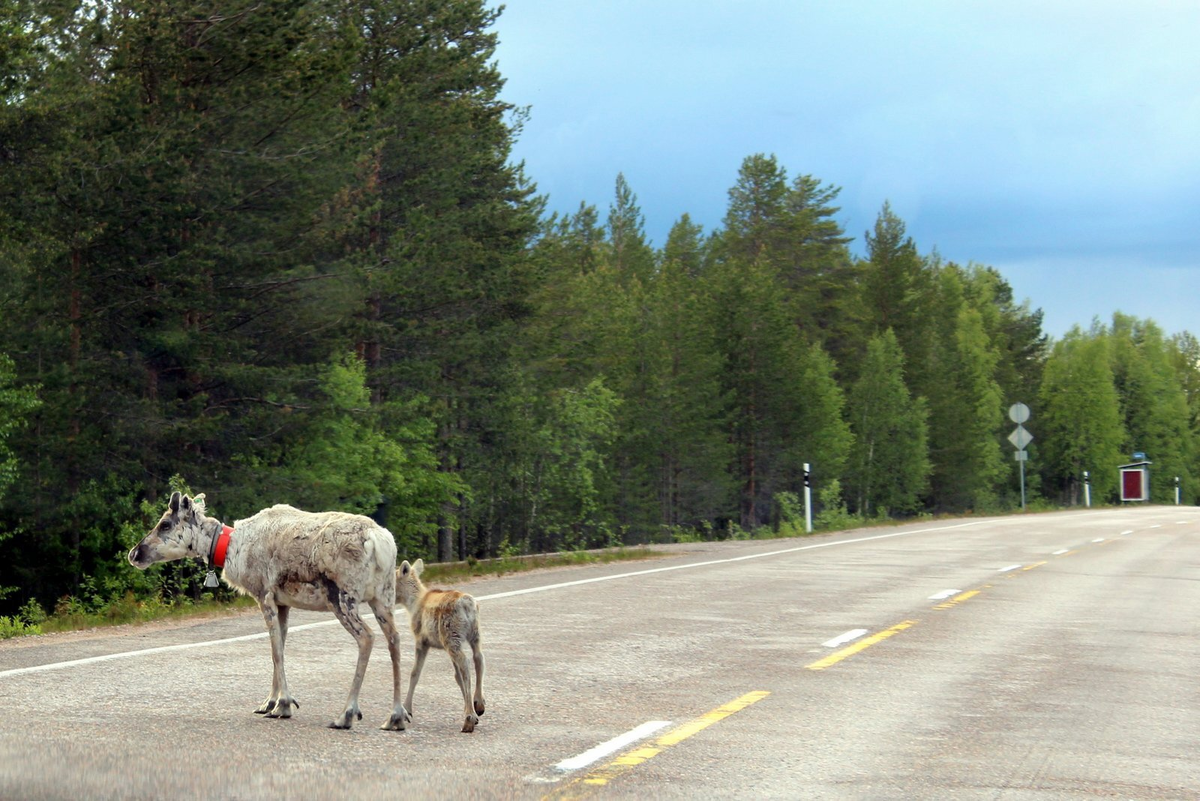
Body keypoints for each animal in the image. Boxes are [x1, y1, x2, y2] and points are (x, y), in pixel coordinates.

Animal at [396, 561, 484, 733]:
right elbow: (457, 677)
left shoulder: (421, 641)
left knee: (466, 665)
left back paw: (469, 718)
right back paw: (478, 705)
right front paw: (473, 714)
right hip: (473, 634)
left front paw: (407, 711)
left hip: (452, 636)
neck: (413, 604)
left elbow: (415, 673)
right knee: (478, 659)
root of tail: (467, 604)